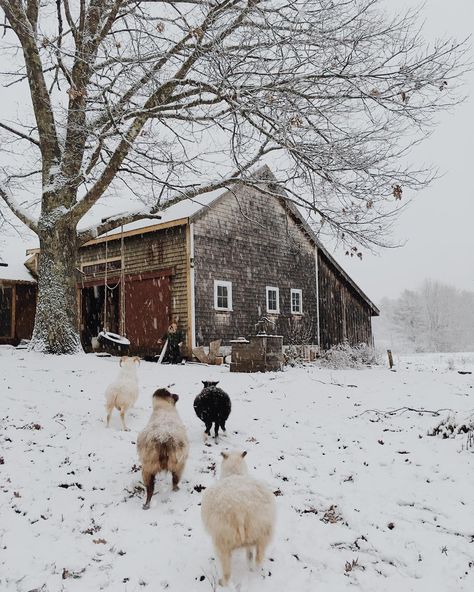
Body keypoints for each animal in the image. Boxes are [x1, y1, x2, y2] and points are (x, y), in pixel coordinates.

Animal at [201, 450, 276, 584]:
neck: (234, 473)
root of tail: (240, 511)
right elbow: (250, 554)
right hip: (262, 535)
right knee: (258, 558)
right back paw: (254, 571)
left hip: (222, 542)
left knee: (227, 572)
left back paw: (222, 582)